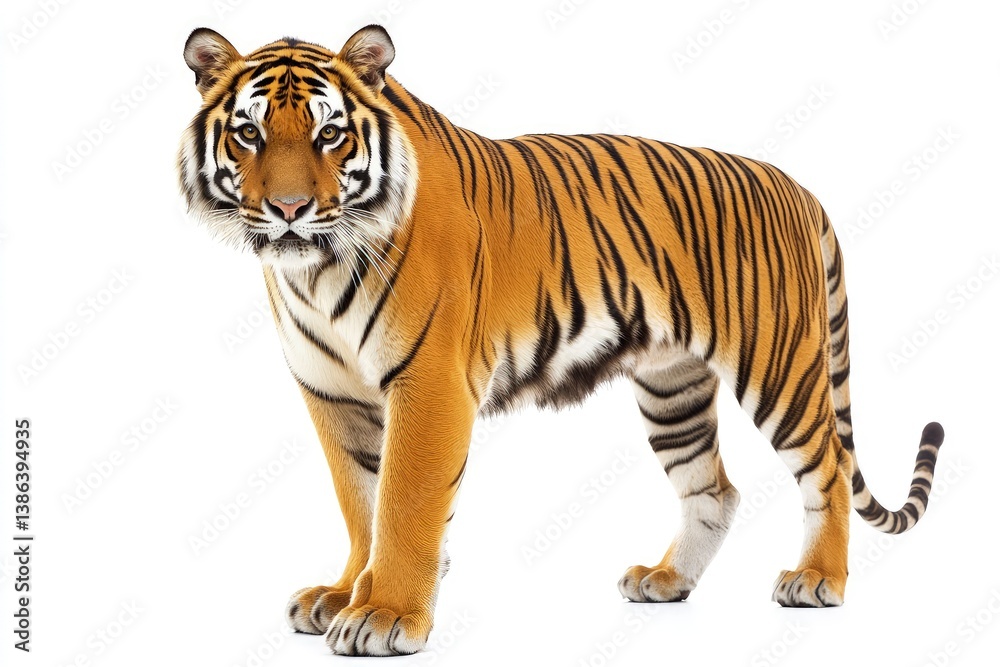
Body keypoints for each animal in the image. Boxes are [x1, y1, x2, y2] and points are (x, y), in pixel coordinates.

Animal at [177, 25, 945, 657]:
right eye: (248, 135)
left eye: (330, 135)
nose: (289, 209)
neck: (315, 266)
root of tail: (798, 187)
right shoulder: (331, 391)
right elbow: (359, 501)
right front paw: (344, 594)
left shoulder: (428, 381)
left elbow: (403, 501)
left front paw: (386, 614)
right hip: (672, 388)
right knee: (715, 490)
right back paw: (667, 579)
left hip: (779, 363)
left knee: (828, 468)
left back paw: (817, 579)